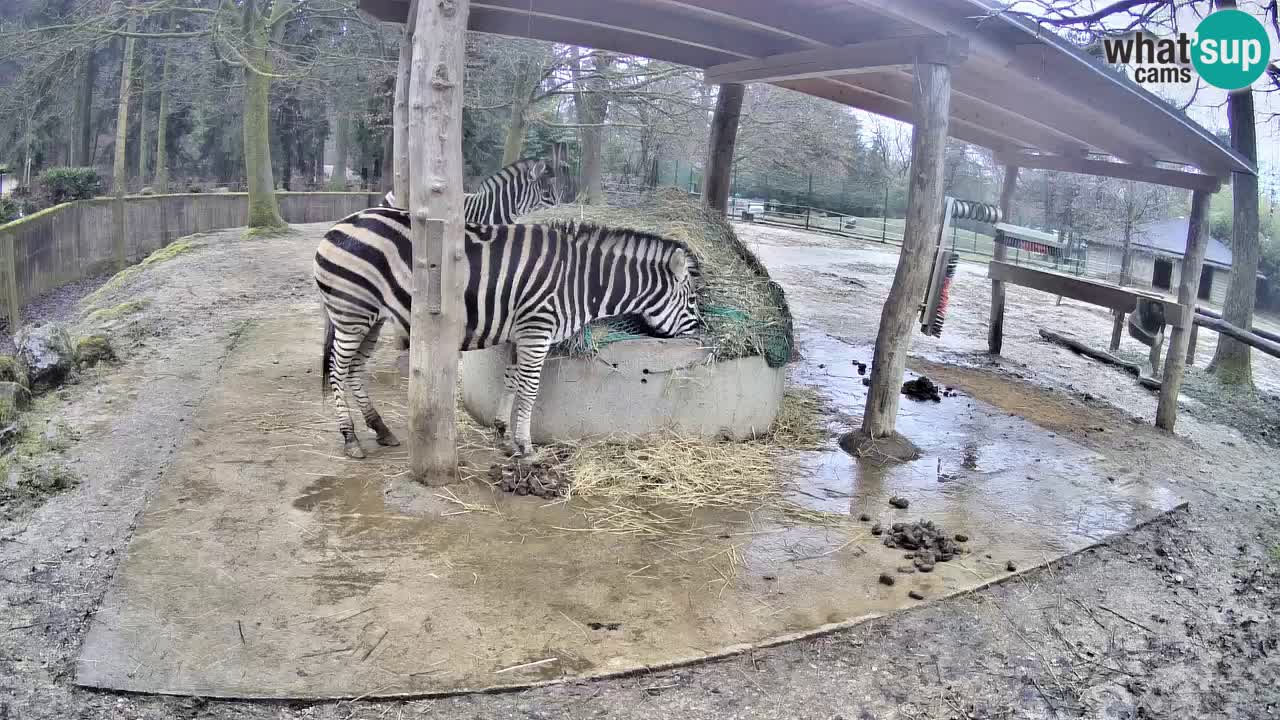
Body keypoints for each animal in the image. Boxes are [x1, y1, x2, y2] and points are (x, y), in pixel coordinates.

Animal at [314, 210, 702, 460]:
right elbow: (529, 390)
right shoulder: (537, 330)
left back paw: (380, 429)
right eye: (693, 301)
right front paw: (525, 446)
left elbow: (512, 381)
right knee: (337, 369)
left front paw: (503, 434)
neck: (580, 281)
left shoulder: (522, 335)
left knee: (354, 370)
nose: (702, 337)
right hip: (352, 313)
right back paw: (350, 438)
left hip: (371, 319)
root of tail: (337, 226)